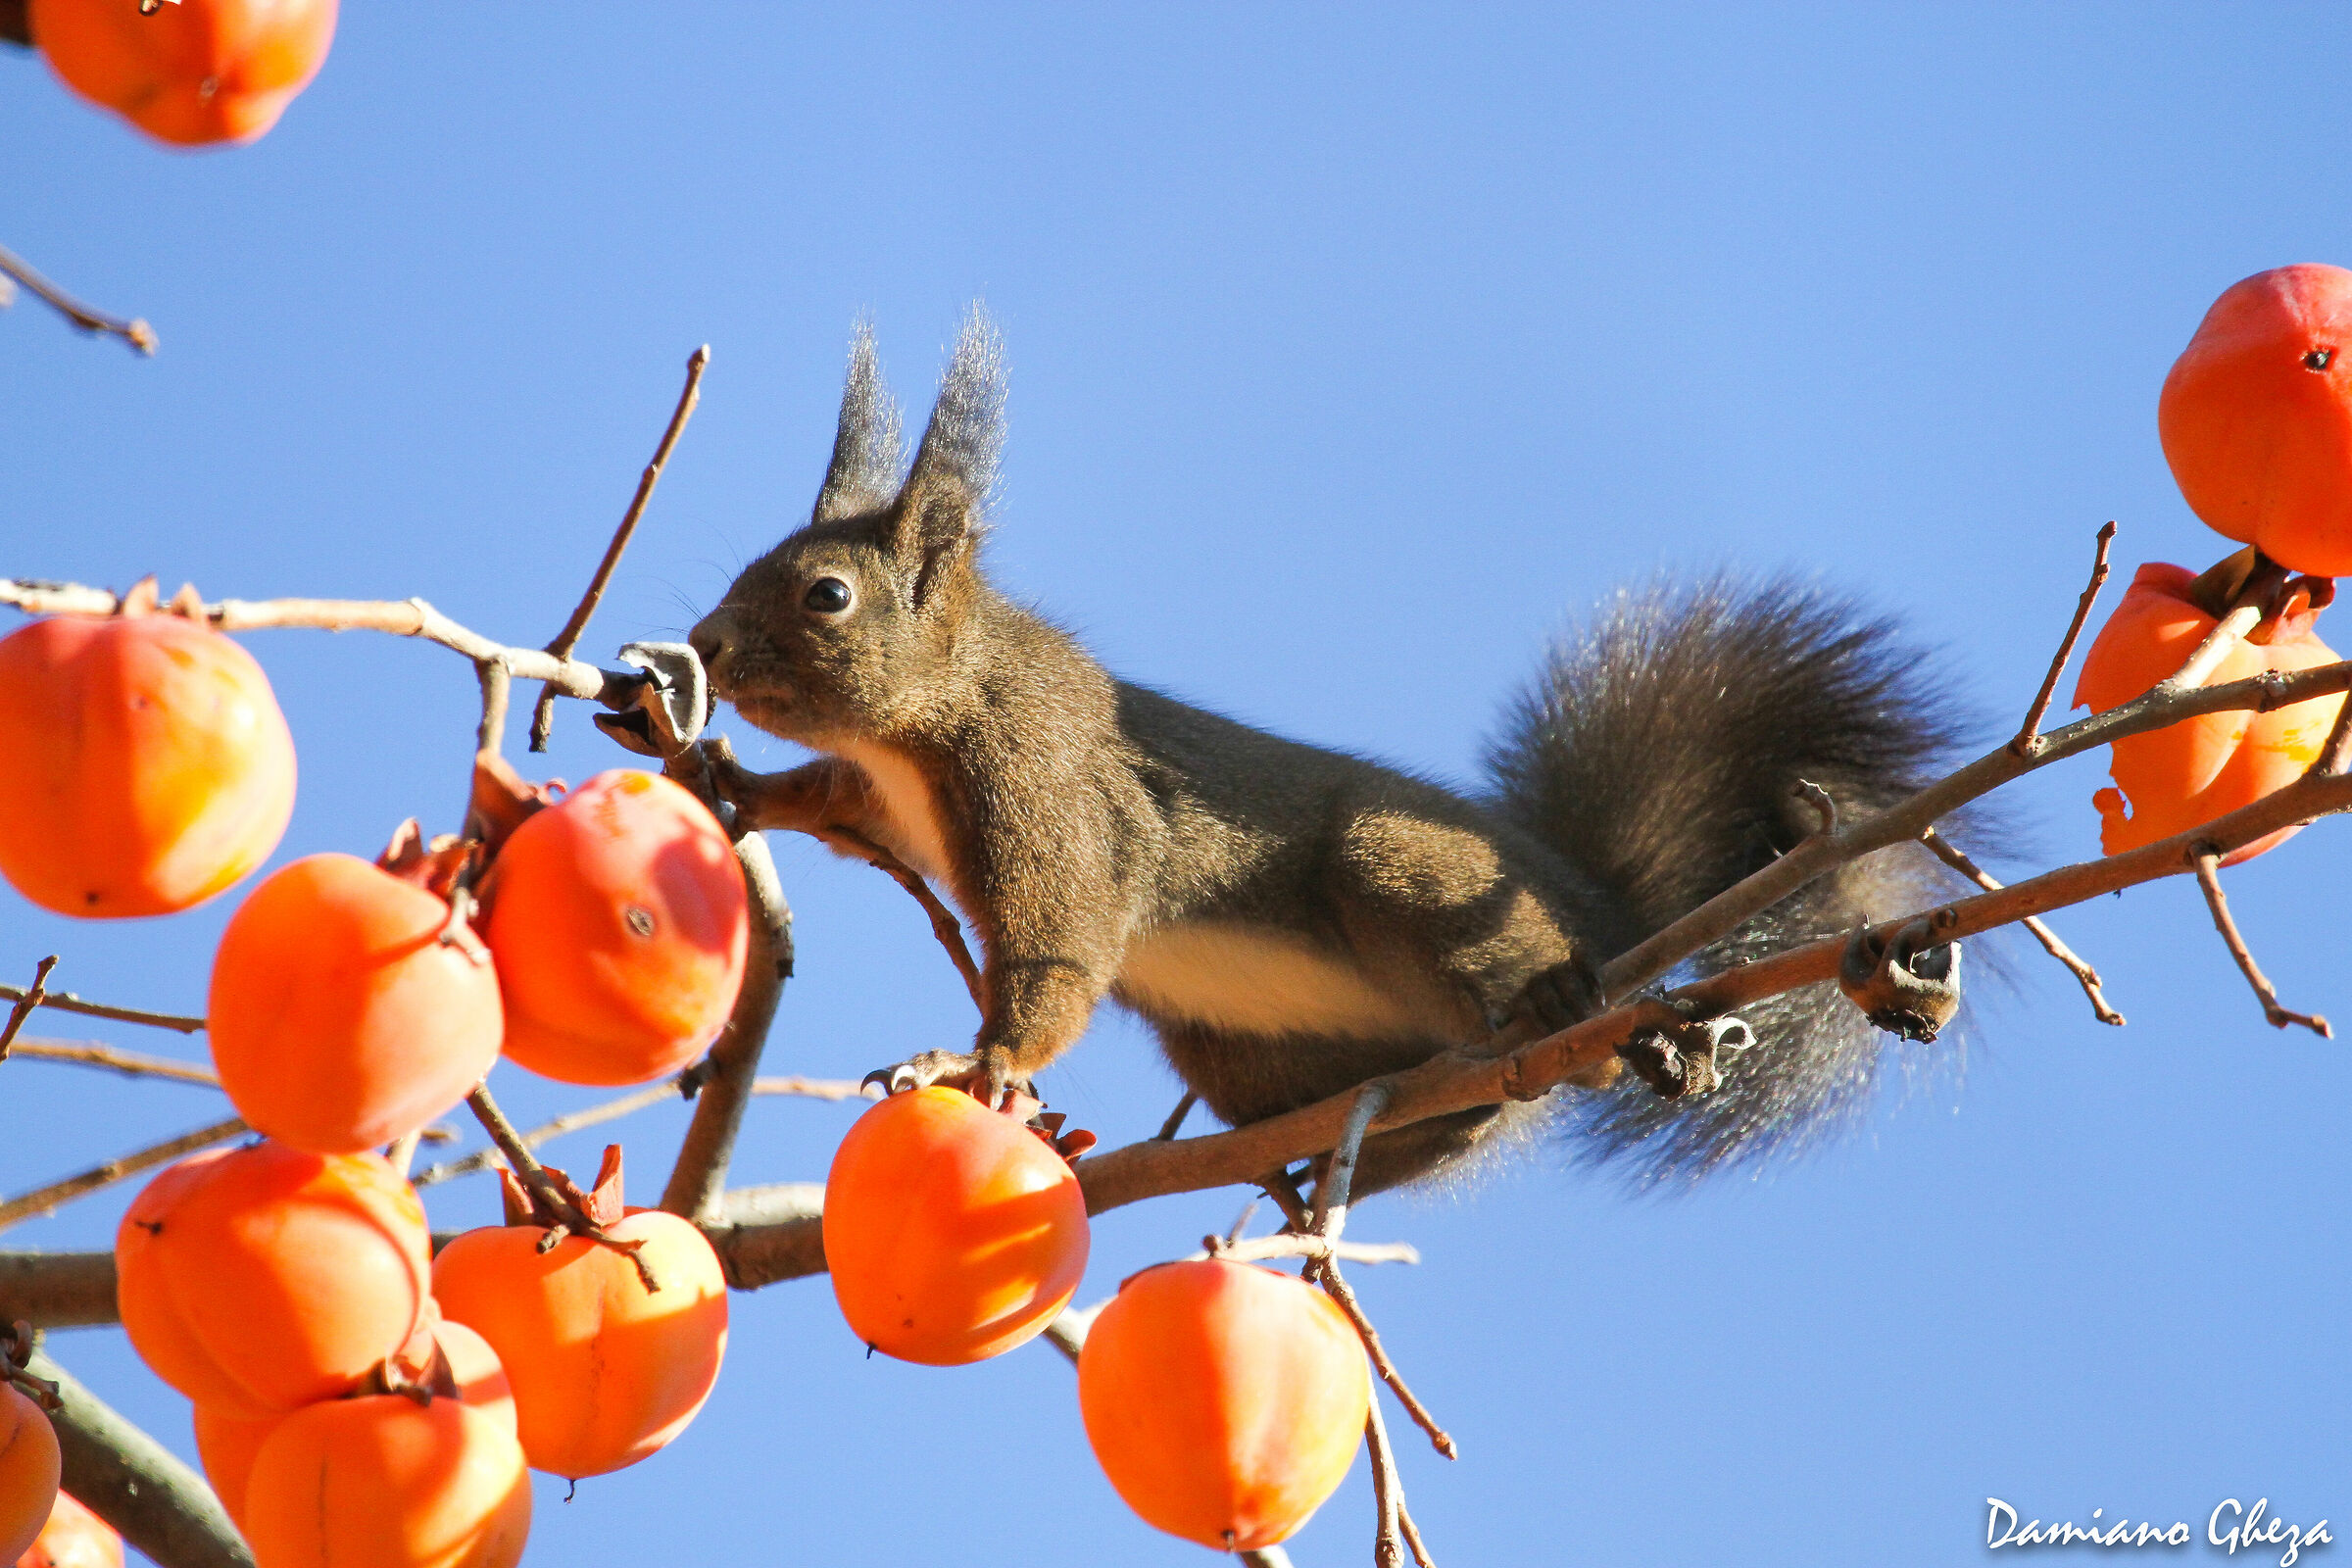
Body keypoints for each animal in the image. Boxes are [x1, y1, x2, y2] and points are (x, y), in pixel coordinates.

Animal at [689, 311, 1966, 1193]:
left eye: (826, 594)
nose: (703, 645)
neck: (928, 718)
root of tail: (1610, 914)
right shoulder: (882, 793)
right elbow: (830, 803)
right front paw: (735, 779)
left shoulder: (1048, 783)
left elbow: (1060, 941)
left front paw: (979, 1067)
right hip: (1243, 1049)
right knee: (1464, 1117)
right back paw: (1336, 1169)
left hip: (1400, 867)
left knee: (1558, 1039)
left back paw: (1569, 1006)